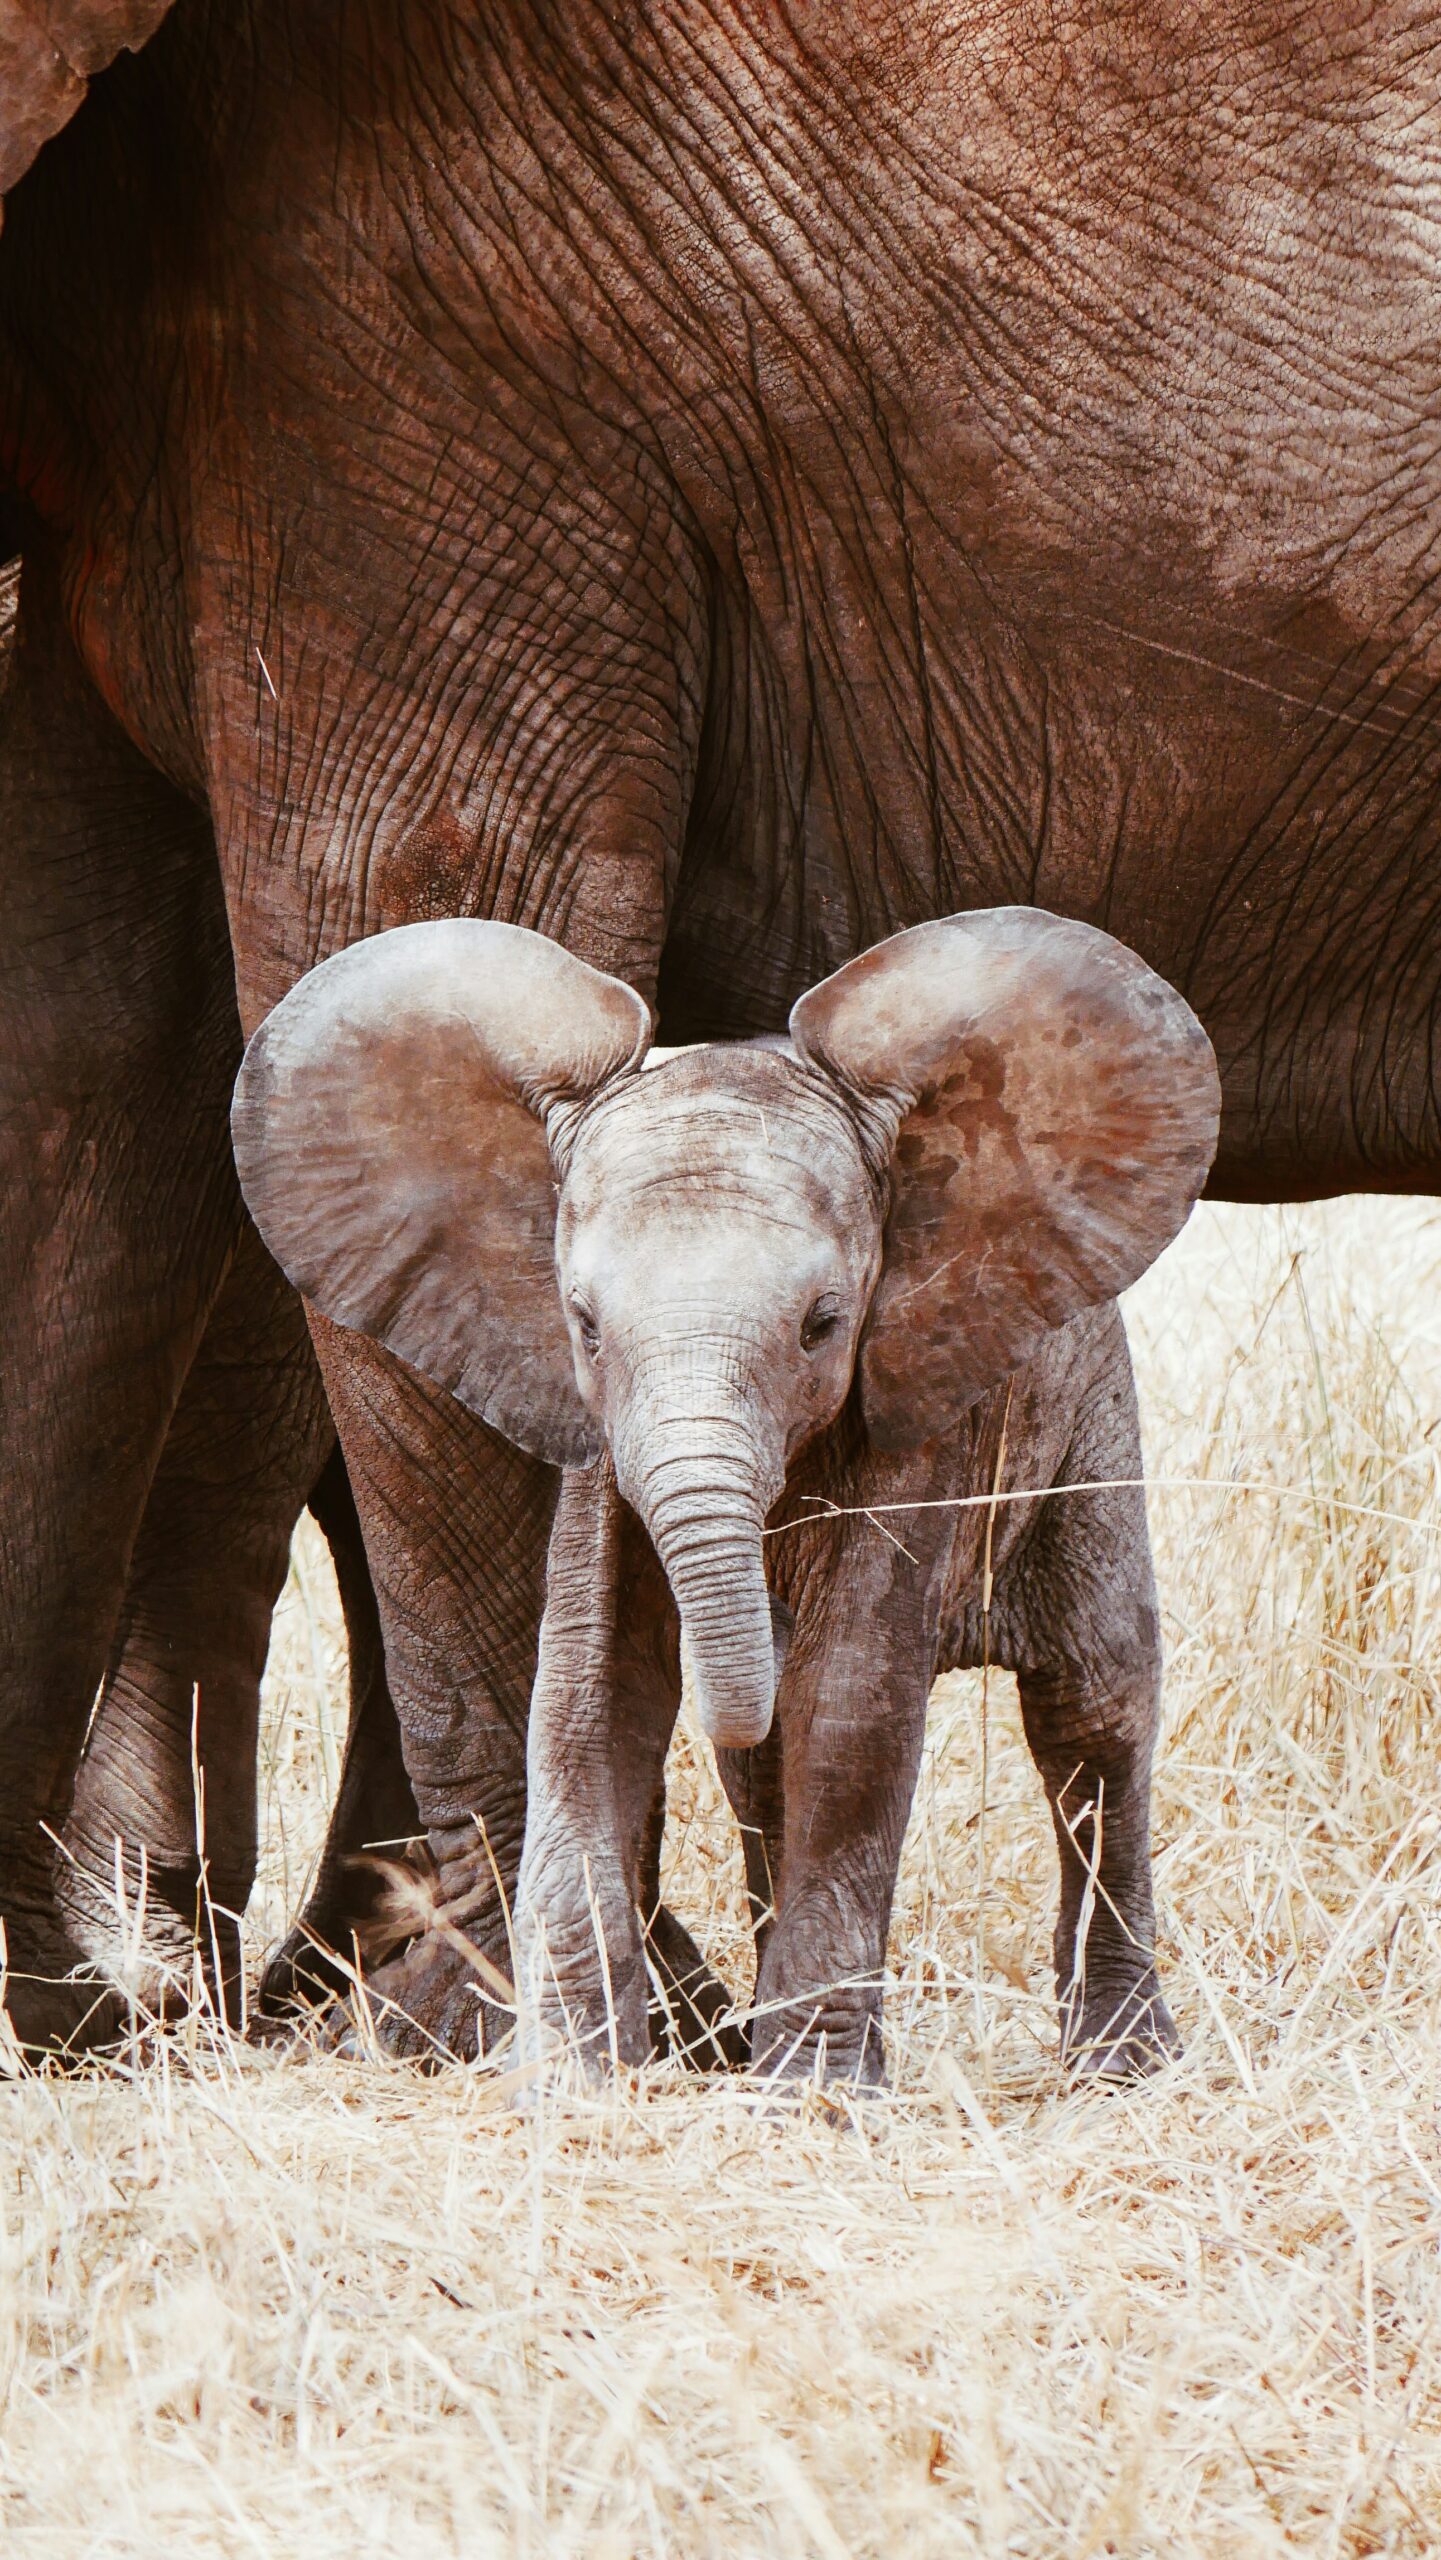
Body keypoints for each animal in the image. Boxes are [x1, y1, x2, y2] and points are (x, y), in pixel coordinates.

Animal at [232, 908, 1220, 2080]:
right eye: (584, 1325)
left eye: (823, 1325)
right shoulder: (598, 1451)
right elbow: (588, 1692)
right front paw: (582, 2082)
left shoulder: (917, 1405)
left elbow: (850, 1697)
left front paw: (814, 2093)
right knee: (767, 1781)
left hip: (1087, 1416)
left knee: (1093, 1706)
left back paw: (1120, 2063)